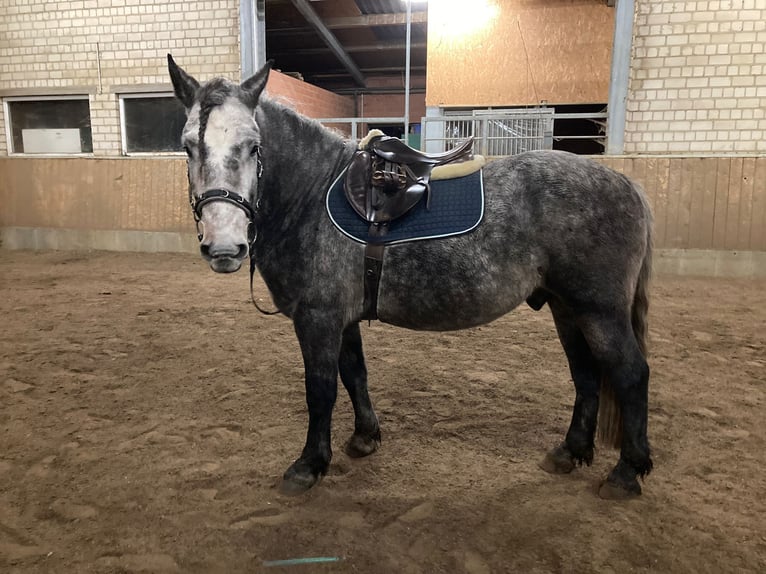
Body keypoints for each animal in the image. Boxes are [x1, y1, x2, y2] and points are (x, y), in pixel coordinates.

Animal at [168, 56, 656, 502]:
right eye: (188, 146)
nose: (225, 247)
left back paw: (626, 473)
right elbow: (355, 374)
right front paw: (365, 437)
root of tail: (627, 184)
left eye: (253, 146)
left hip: (599, 311)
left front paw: (309, 465)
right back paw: (570, 452)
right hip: (567, 308)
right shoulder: (342, 320)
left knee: (630, 374)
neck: (311, 196)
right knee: (586, 375)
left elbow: (321, 390)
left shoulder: (318, 320)